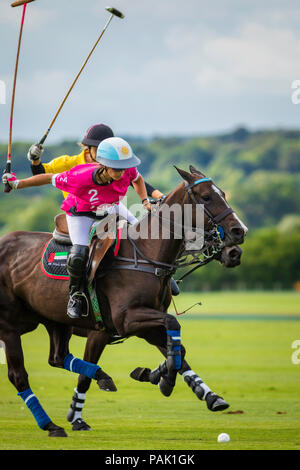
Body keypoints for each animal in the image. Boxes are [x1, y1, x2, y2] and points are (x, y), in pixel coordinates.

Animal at [0, 166, 246, 436]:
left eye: (223, 193)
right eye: (206, 197)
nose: (238, 235)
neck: (146, 254)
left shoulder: (146, 324)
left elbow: (177, 351)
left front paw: (182, 385)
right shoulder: (121, 321)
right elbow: (172, 327)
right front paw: (77, 416)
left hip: (53, 320)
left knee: (57, 357)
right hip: (10, 327)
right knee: (19, 375)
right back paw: (52, 423)